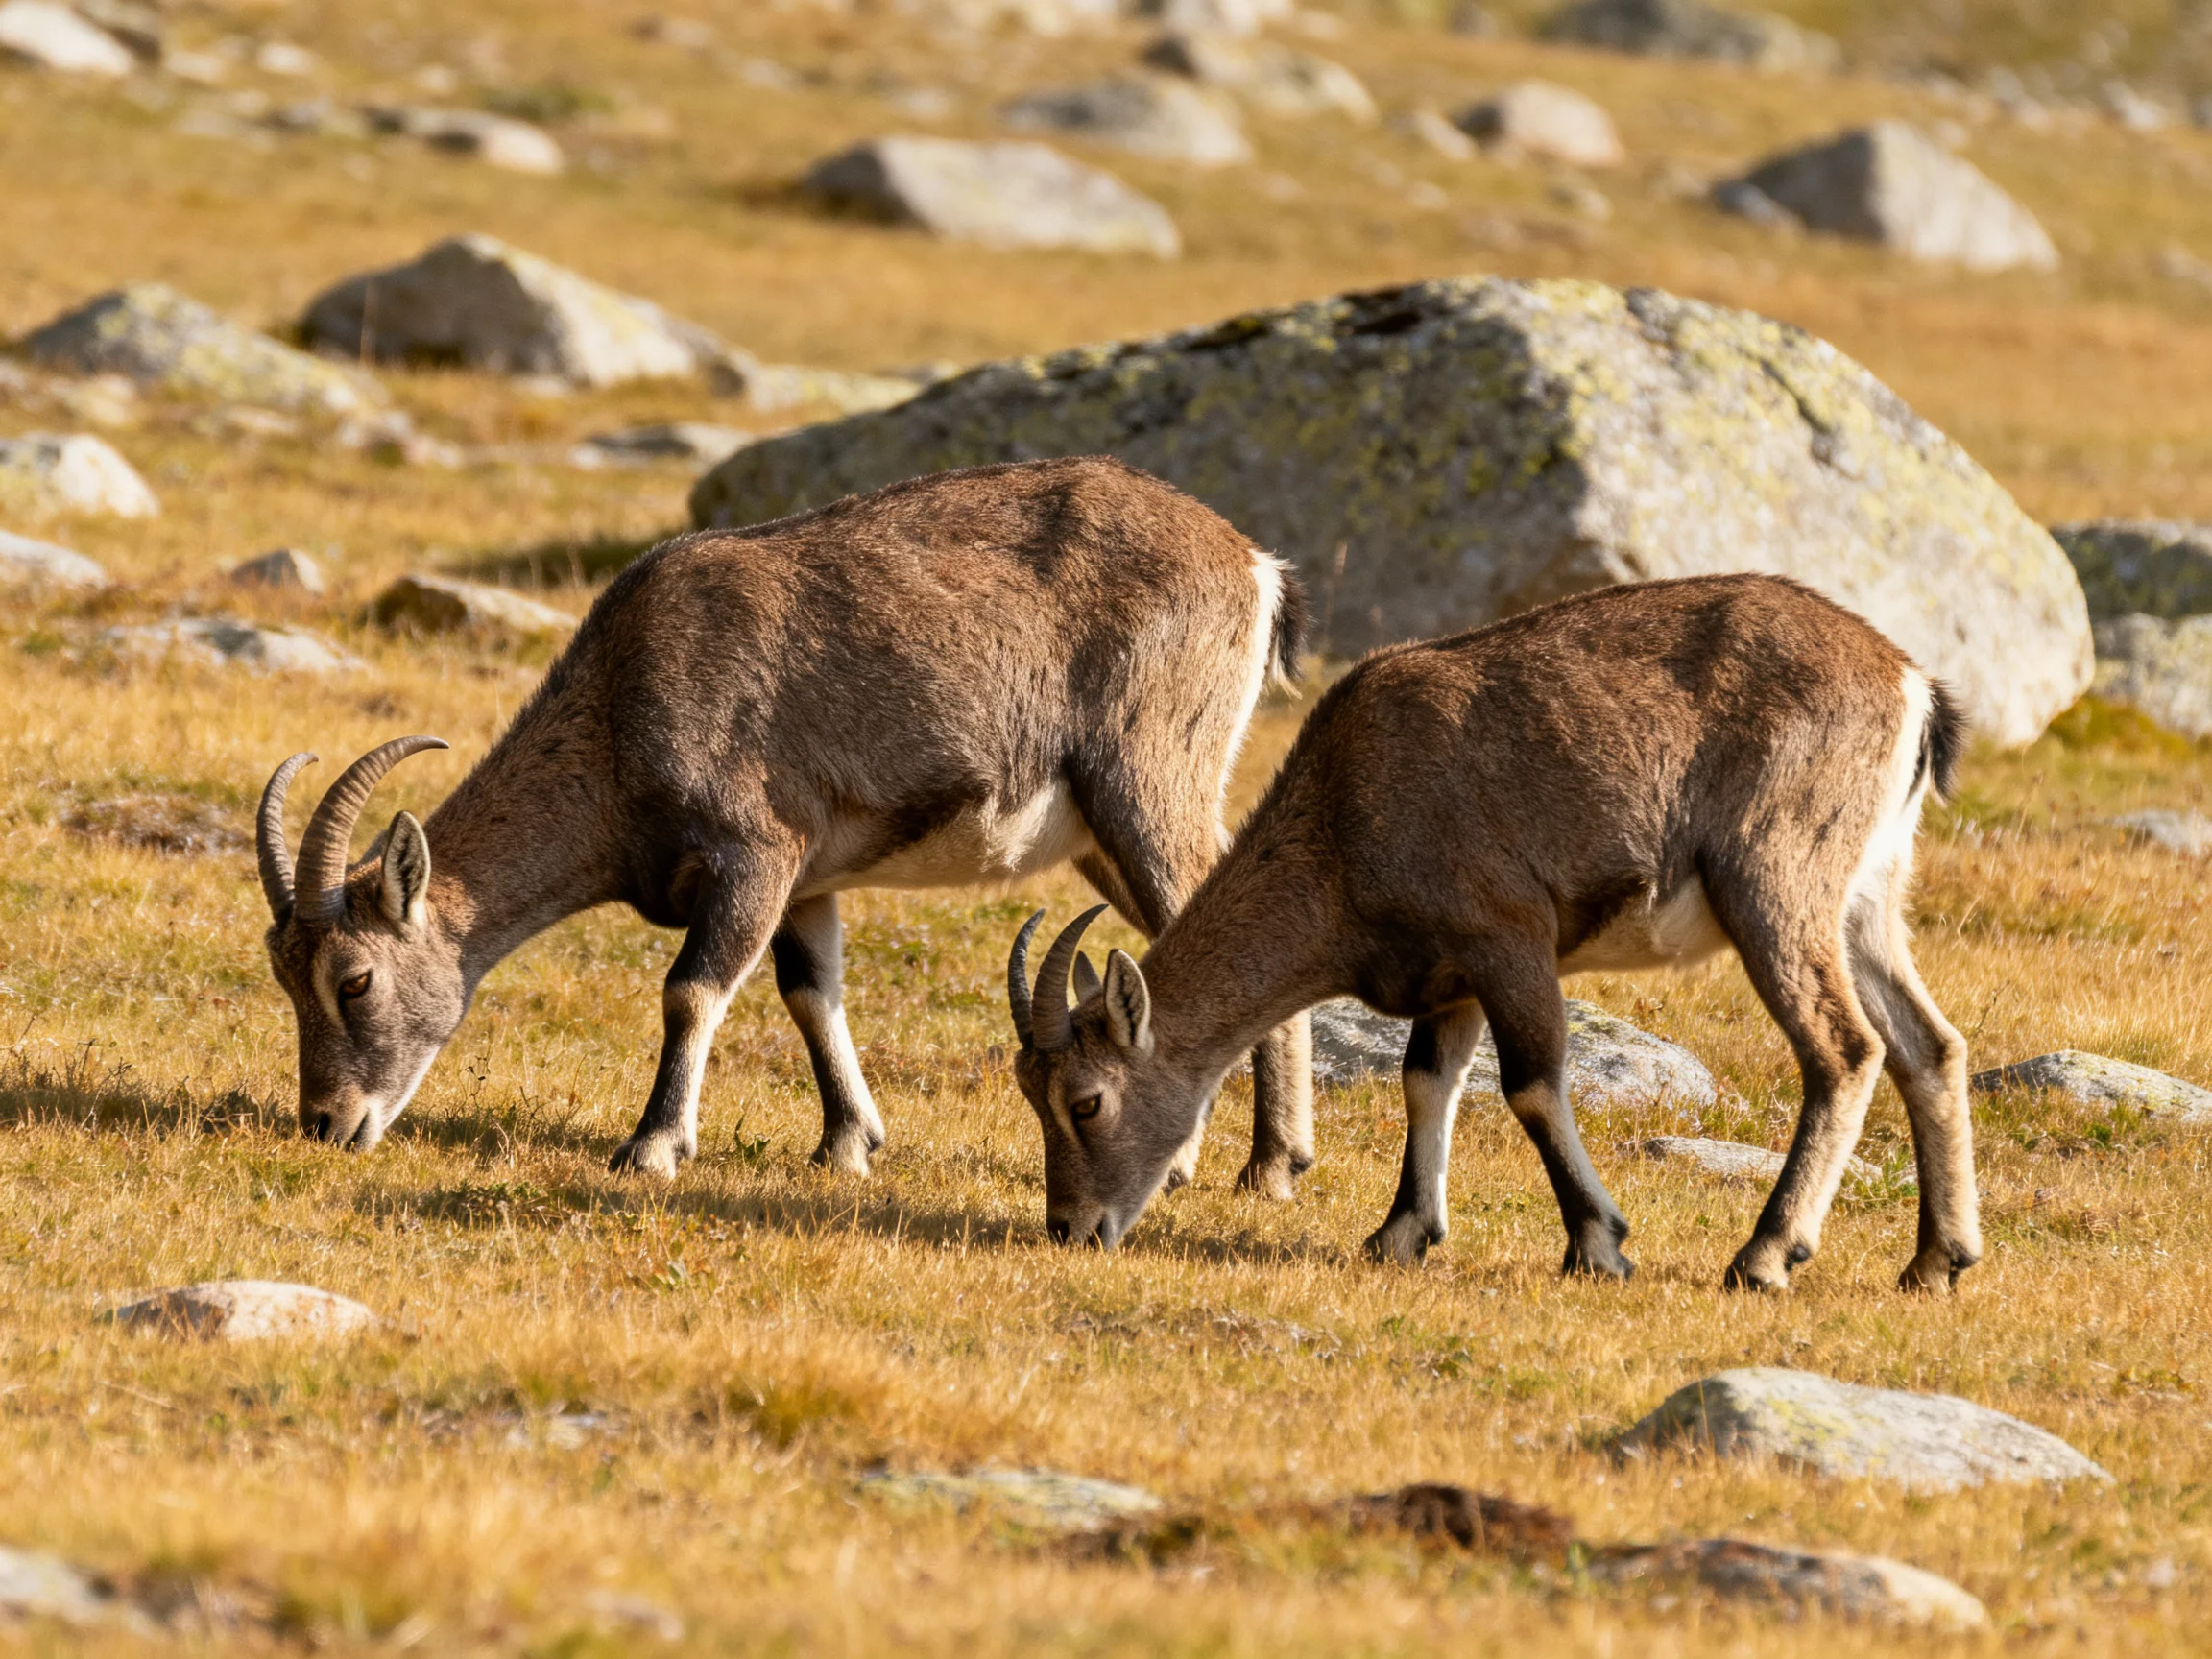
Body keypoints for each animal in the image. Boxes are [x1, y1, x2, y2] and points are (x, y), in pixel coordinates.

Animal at [256, 457, 1314, 1190]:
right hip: (1102, 841)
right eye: (283, 976)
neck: (622, 711)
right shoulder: (810, 881)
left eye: (354, 978)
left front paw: (651, 1146)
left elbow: (692, 992)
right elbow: (813, 995)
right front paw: (849, 1143)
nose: (327, 1123)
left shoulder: (756, 853)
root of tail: (1255, 567)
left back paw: (1268, 1167)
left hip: (1149, 790)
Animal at [1006, 573, 1980, 1294]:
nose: (1072, 1228)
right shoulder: (1452, 977)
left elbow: (1531, 1086)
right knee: (1929, 1046)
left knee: (1845, 1049)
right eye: (1032, 1093)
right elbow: (1425, 1082)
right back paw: (1937, 1260)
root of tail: (1912, 688)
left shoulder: (1507, 938)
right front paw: (1399, 1234)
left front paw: (1598, 1244)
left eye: (1087, 1101)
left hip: (1776, 884)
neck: (1347, 816)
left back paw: (1768, 1255)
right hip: (1866, 900)